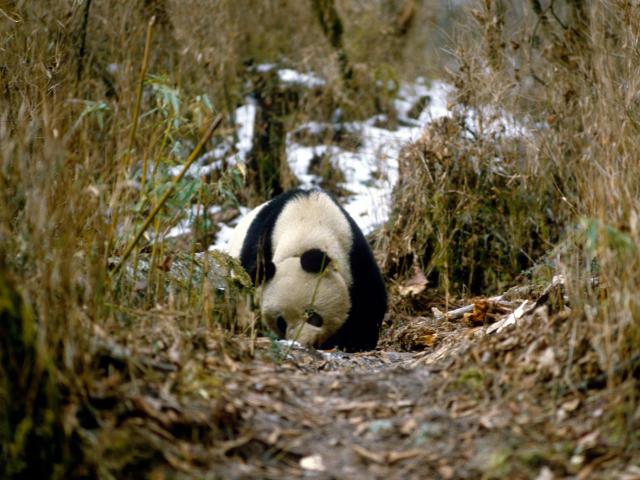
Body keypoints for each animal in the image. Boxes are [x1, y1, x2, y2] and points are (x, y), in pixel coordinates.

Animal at [227, 188, 387, 352]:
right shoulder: (262, 243)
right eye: (281, 322)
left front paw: (355, 343)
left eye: (312, 315)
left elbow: (369, 298)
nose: (302, 342)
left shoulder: (353, 251)